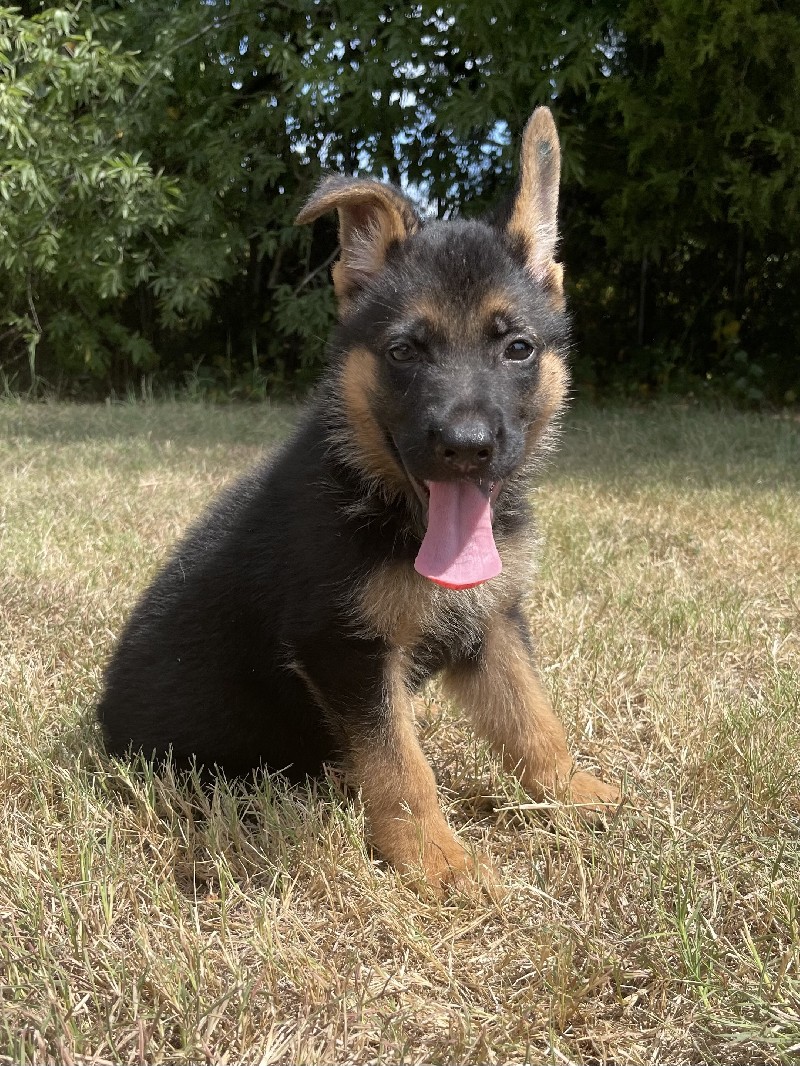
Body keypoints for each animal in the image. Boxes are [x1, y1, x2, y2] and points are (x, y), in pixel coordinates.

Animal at [95, 108, 618, 891]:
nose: (466, 446)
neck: (386, 502)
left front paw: (573, 794)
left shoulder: (490, 622)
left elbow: (533, 718)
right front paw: (435, 860)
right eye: (404, 351)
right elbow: (400, 766)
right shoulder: (343, 648)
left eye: (518, 348)